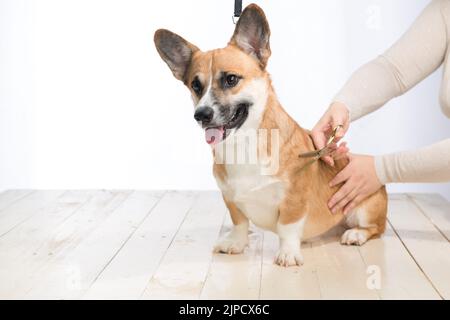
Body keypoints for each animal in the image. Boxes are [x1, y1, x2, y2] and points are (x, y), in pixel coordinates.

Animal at [154, 3, 386, 266]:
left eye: (231, 79)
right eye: (195, 85)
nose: (201, 114)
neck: (243, 143)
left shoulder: (294, 200)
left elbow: (287, 227)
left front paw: (288, 253)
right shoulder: (230, 199)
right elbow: (240, 223)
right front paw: (237, 243)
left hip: (366, 210)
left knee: (375, 229)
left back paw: (355, 234)